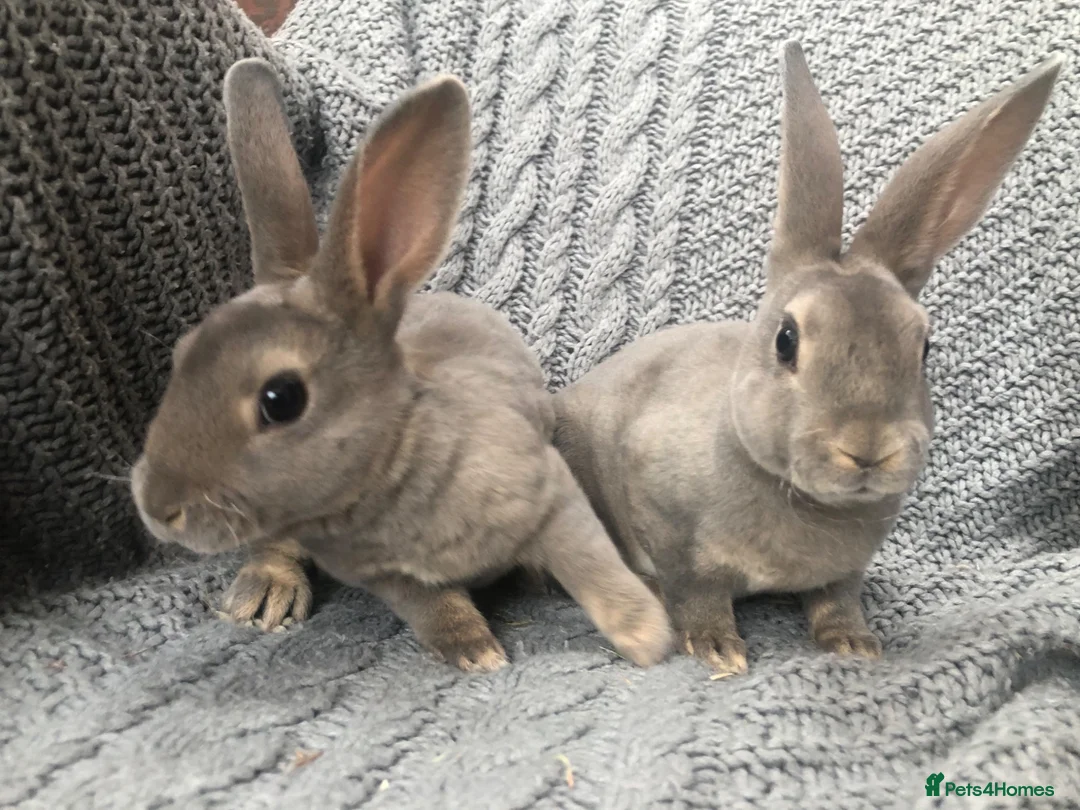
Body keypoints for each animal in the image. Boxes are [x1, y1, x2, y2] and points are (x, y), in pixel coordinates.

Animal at [129, 58, 674, 672]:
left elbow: (594, 571)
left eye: (281, 399)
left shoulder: (550, 495)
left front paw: (649, 638)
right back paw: (266, 591)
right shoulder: (394, 579)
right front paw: (474, 651)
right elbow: (432, 608)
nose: (156, 508)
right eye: (181, 356)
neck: (387, 473)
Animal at [552, 42, 1062, 675]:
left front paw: (854, 642)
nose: (868, 448)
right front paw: (718, 648)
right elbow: (696, 591)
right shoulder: (668, 528)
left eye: (924, 346)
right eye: (786, 340)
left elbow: (835, 598)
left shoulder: (844, 572)